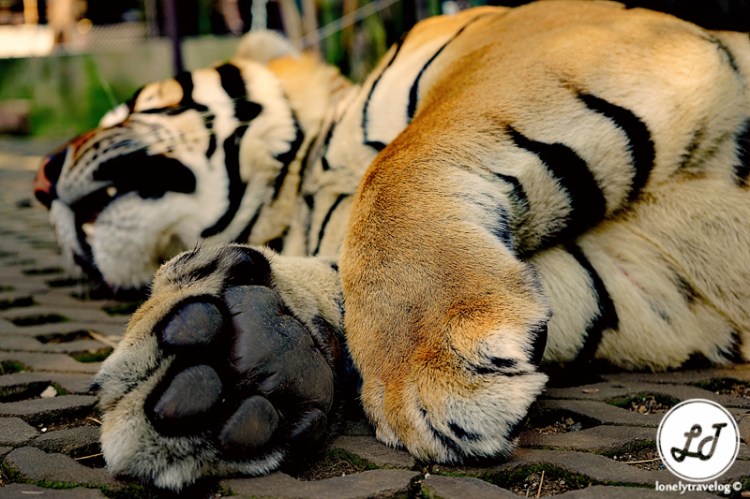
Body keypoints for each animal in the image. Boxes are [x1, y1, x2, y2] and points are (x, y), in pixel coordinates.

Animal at [33, 0, 750, 491]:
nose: (39, 178)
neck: (303, 194)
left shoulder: (544, 34)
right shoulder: (645, 278)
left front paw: (425, 351)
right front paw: (220, 358)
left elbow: (399, 164)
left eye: (131, 104)